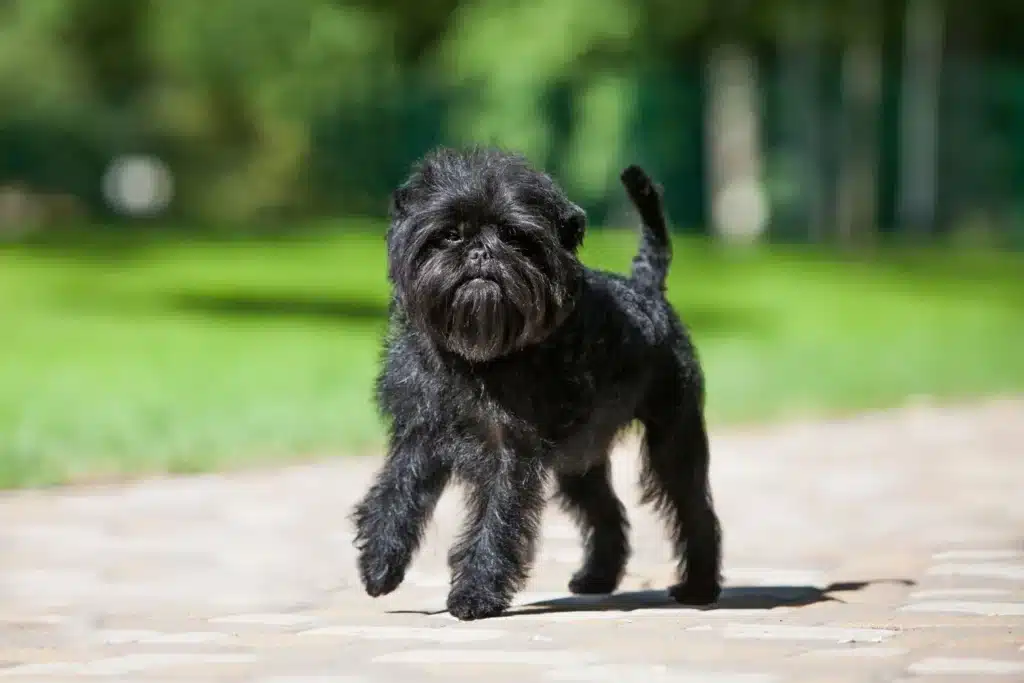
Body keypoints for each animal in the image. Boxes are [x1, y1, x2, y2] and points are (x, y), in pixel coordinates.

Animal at [352, 147, 720, 622]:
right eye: (449, 235)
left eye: (514, 236)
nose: (480, 252)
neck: (475, 358)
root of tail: (646, 287)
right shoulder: (419, 433)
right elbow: (396, 494)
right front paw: (380, 563)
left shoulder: (510, 451)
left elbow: (497, 519)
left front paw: (476, 593)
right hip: (579, 457)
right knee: (605, 509)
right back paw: (598, 577)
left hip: (672, 436)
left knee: (693, 507)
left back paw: (699, 586)